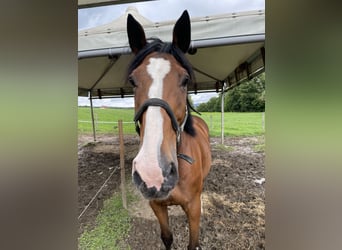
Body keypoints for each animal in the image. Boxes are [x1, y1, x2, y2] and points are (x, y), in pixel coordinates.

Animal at [126, 10, 211, 250]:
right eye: (132, 80)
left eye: (185, 80)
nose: (153, 173)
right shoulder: (157, 205)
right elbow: (167, 237)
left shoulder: (194, 209)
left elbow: (193, 243)